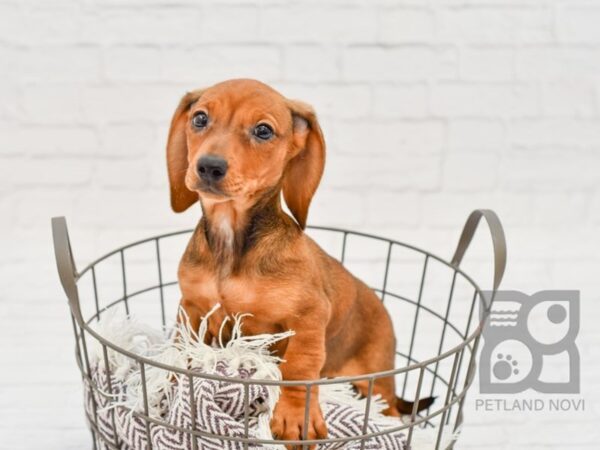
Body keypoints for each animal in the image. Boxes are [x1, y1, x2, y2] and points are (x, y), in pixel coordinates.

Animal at [166, 79, 434, 444]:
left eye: (263, 130)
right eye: (200, 119)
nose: (208, 166)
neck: (232, 245)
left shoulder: (309, 316)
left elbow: (299, 365)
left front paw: (296, 415)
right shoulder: (192, 307)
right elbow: (180, 349)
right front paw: (168, 389)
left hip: (377, 383)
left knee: (388, 409)